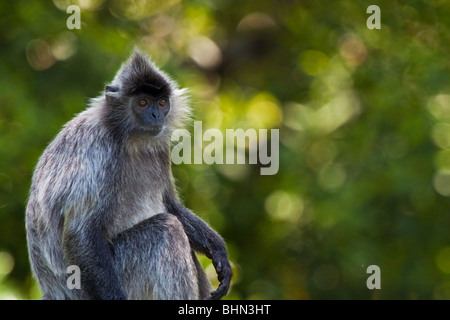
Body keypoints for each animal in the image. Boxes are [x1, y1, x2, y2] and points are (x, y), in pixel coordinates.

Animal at [25, 48, 232, 300]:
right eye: (142, 103)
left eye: (162, 103)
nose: (155, 116)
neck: (130, 139)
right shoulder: (99, 149)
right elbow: (79, 233)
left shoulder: (160, 147)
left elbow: (169, 203)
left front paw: (218, 251)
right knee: (166, 230)